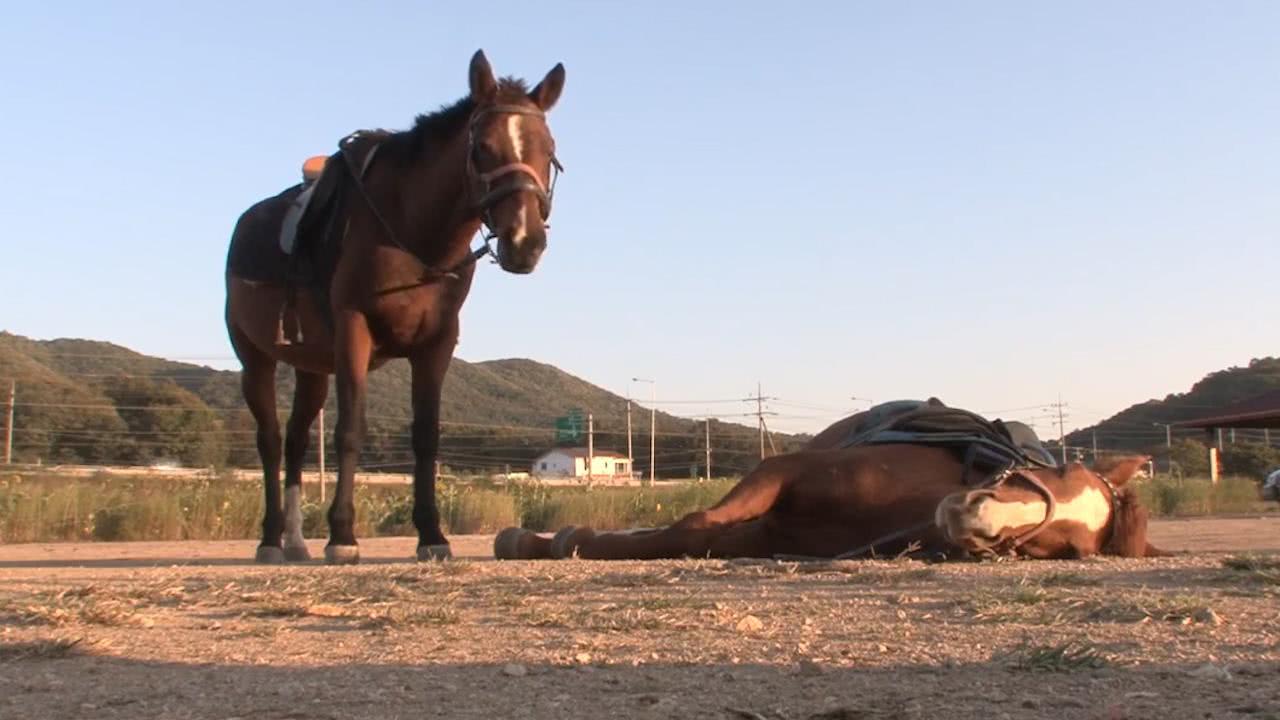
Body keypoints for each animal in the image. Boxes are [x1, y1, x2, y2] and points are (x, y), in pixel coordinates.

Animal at [227, 53, 568, 563]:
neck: (412, 232)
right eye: (481, 148)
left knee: (295, 440)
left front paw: (432, 534)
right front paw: (342, 535)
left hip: (311, 368)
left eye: (548, 151)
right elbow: (350, 430)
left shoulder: (437, 343)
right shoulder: (354, 329)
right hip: (255, 357)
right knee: (269, 440)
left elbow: (426, 436)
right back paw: (270, 540)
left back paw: (295, 541)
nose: (525, 242)